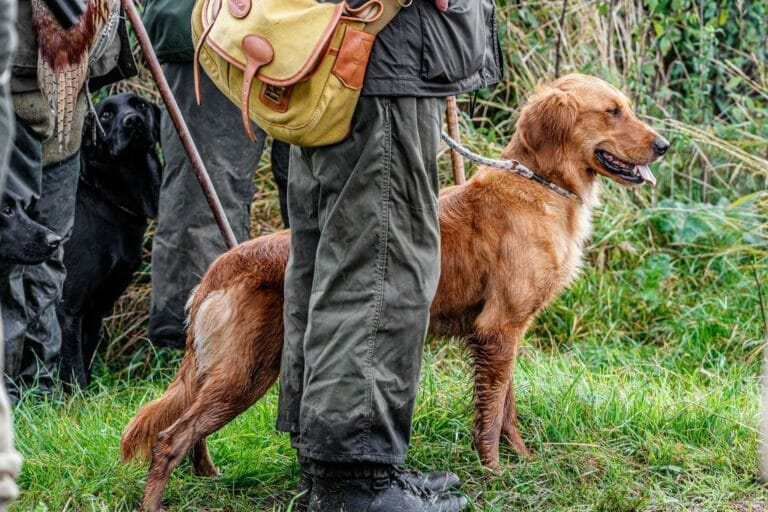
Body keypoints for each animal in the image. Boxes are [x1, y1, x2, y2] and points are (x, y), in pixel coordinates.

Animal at [58, 93, 164, 388]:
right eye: (105, 115)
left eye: (140, 105)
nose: (134, 121)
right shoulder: (67, 308)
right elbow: (74, 370)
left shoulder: (96, 310)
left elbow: (85, 361)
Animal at [118, 74, 664, 510]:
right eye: (613, 111)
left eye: (627, 106)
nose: (662, 146)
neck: (541, 186)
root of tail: (217, 270)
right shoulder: (498, 329)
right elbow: (491, 415)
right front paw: (495, 472)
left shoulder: (506, 332)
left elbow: (506, 406)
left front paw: (524, 460)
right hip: (244, 372)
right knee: (168, 438)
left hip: (238, 371)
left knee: (187, 428)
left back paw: (209, 477)